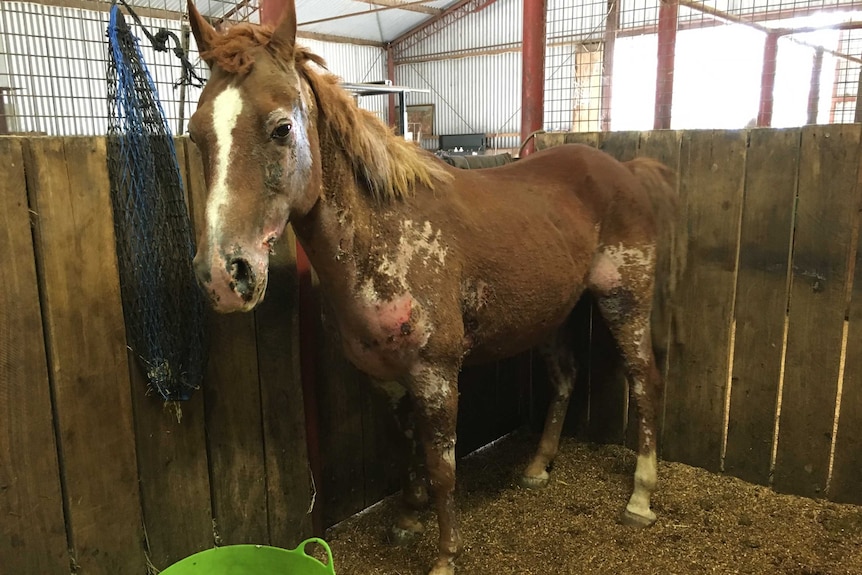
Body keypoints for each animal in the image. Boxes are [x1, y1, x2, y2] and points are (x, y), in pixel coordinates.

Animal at [187, 2, 680, 572]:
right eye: (197, 133)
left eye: (282, 128)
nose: (225, 275)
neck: (385, 237)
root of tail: (626, 170)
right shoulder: (388, 379)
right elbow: (408, 450)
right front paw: (406, 519)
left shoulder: (437, 377)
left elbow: (443, 465)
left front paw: (445, 554)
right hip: (551, 314)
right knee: (564, 379)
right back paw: (537, 468)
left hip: (626, 302)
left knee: (646, 381)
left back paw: (640, 497)